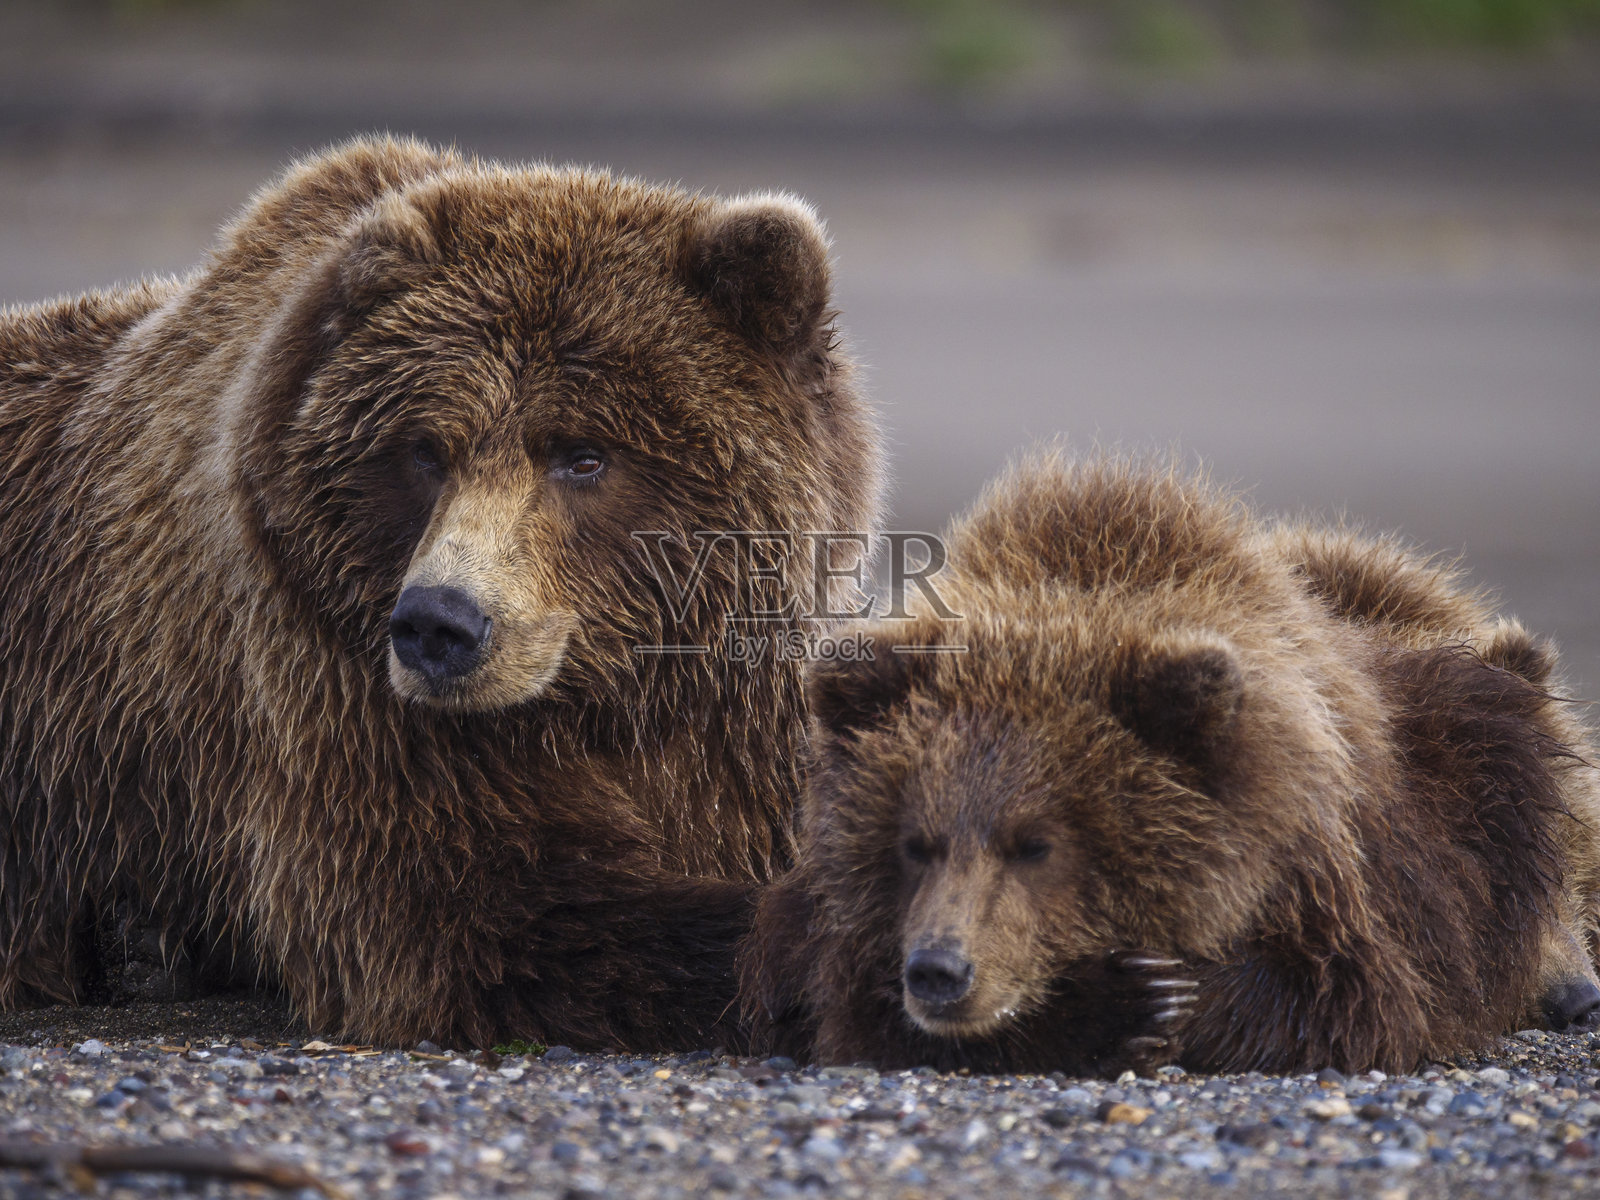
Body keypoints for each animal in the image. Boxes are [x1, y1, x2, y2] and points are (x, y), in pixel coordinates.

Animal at [0, 136, 883, 1050]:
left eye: (584, 455)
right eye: (425, 450)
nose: (440, 623)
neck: (602, 701)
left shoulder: (736, 712)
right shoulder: (339, 696)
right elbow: (488, 919)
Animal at [740, 452, 1600, 1075]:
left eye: (1037, 845)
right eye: (914, 844)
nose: (940, 970)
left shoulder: (1346, 898)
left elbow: (1341, 1005)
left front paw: (1157, 996)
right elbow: (851, 1006)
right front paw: (1109, 1006)